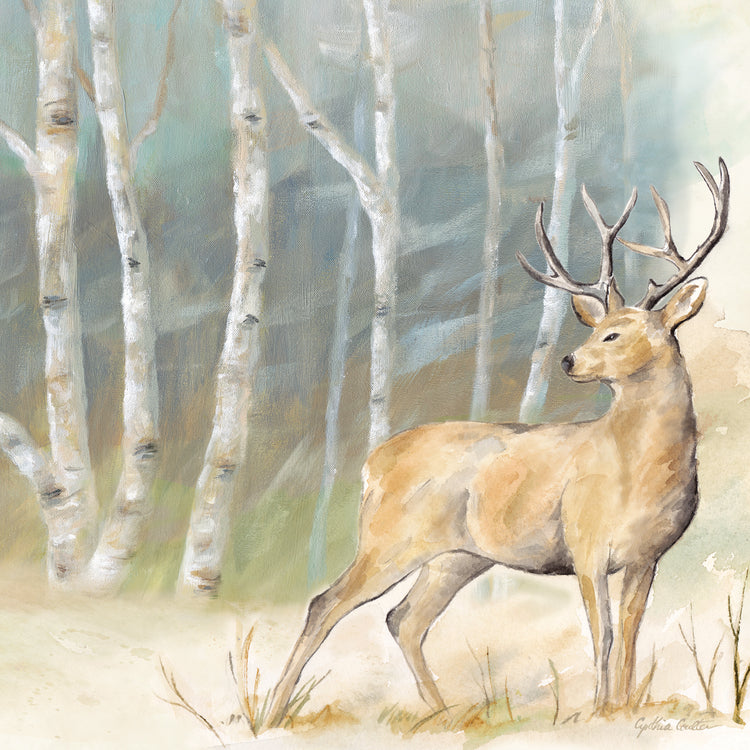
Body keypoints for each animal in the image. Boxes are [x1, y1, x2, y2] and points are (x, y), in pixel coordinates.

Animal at [266, 158, 730, 727]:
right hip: (387, 538)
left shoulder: (647, 556)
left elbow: (629, 637)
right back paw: (272, 713)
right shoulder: (586, 542)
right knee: (326, 604)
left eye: (615, 333)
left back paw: (445, 714)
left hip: (457, 556)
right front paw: (599, 712)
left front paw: (619, 710)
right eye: (598, 327)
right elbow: (602, 635)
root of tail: (372, 462)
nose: (569, 360)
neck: (641, 469)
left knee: (404, 618)